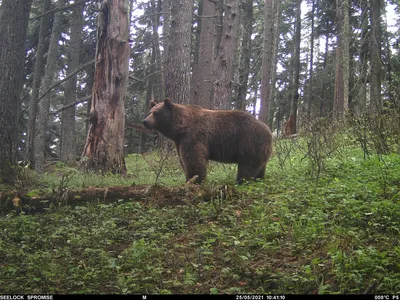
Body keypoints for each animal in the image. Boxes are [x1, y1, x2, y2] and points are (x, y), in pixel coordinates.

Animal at [142, 99, 274, 183]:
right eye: (150, 112)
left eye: (156, 113)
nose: (145, 121)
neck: (179, 129)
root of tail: (269, 130)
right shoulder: (179, 141)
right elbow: (183, 160)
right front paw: (189, 179)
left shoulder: (194, 136)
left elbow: (194, 158)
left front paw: (196, 180)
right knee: (259, 165)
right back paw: (259, 179)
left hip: (249, 140)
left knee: (247, 165)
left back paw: (241, 181)